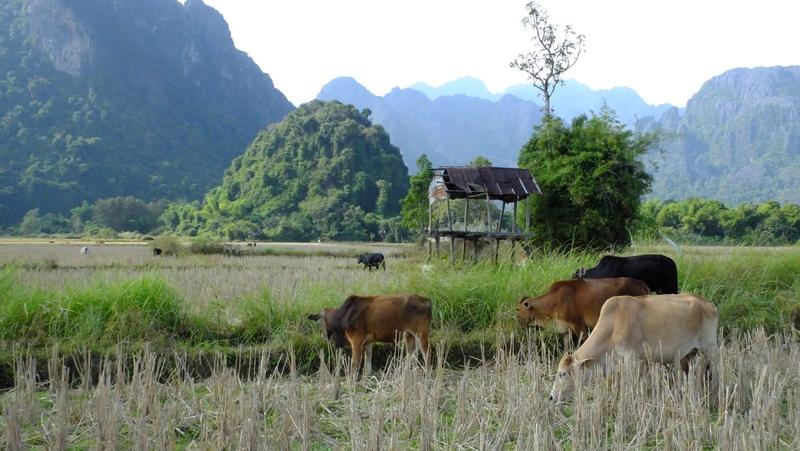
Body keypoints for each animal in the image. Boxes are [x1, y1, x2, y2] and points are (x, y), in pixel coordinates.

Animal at [552, 294, 720, 404]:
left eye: (562, 374)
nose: (551, 397)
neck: (613, 325)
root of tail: (709, 304)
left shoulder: (630, 358)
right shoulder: (642, 360)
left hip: (710, 347)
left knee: (716, 370)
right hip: (689, 354)